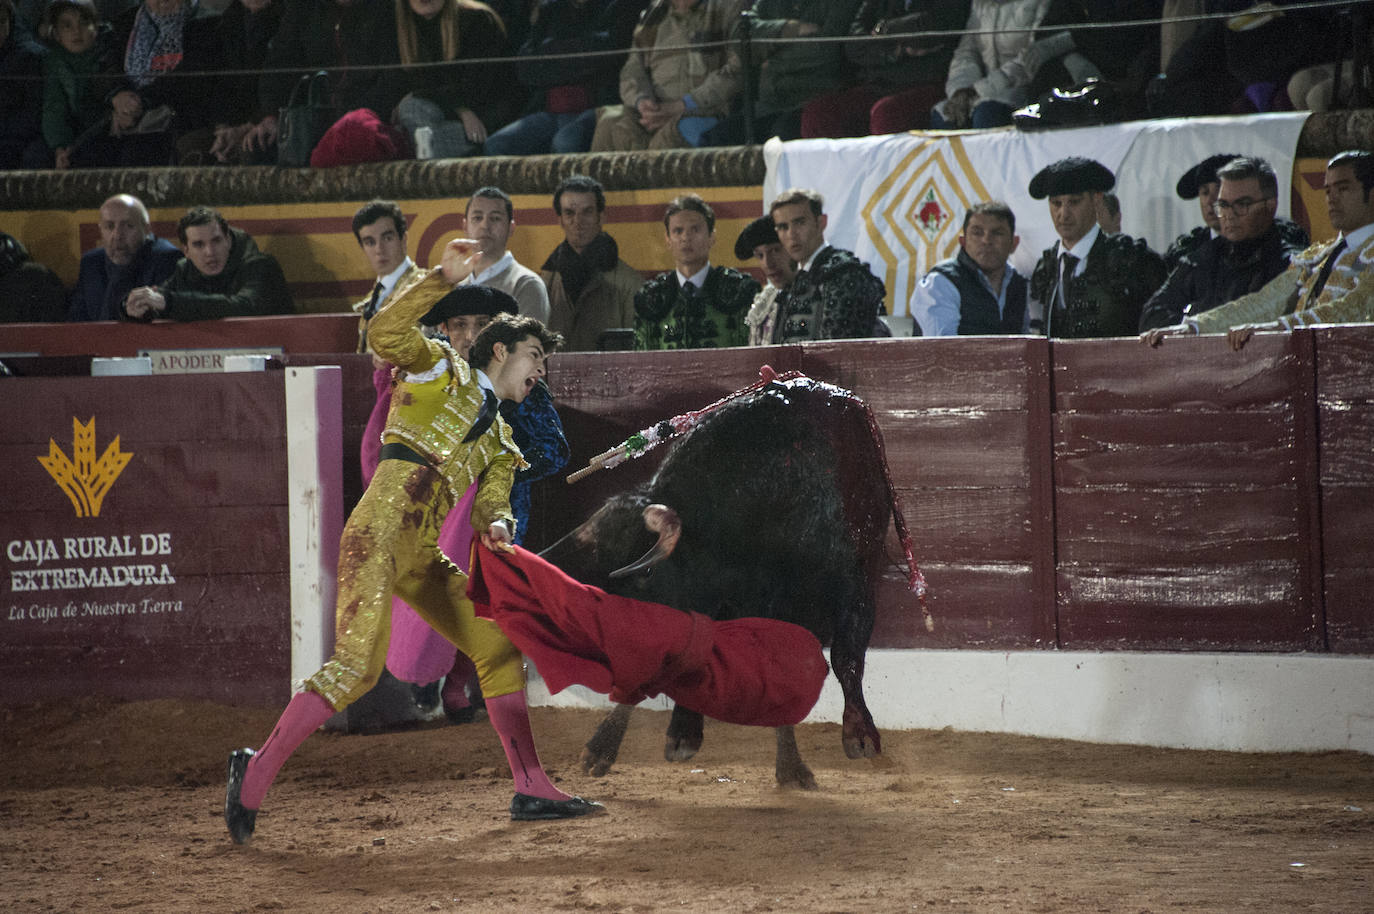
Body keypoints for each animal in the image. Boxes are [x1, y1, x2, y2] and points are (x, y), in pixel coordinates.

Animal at [535, 373, 923, 786]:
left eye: (647, 573)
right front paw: (606, 746)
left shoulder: (845, 584)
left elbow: (841, 658)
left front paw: (844, 742)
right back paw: (682, 731)